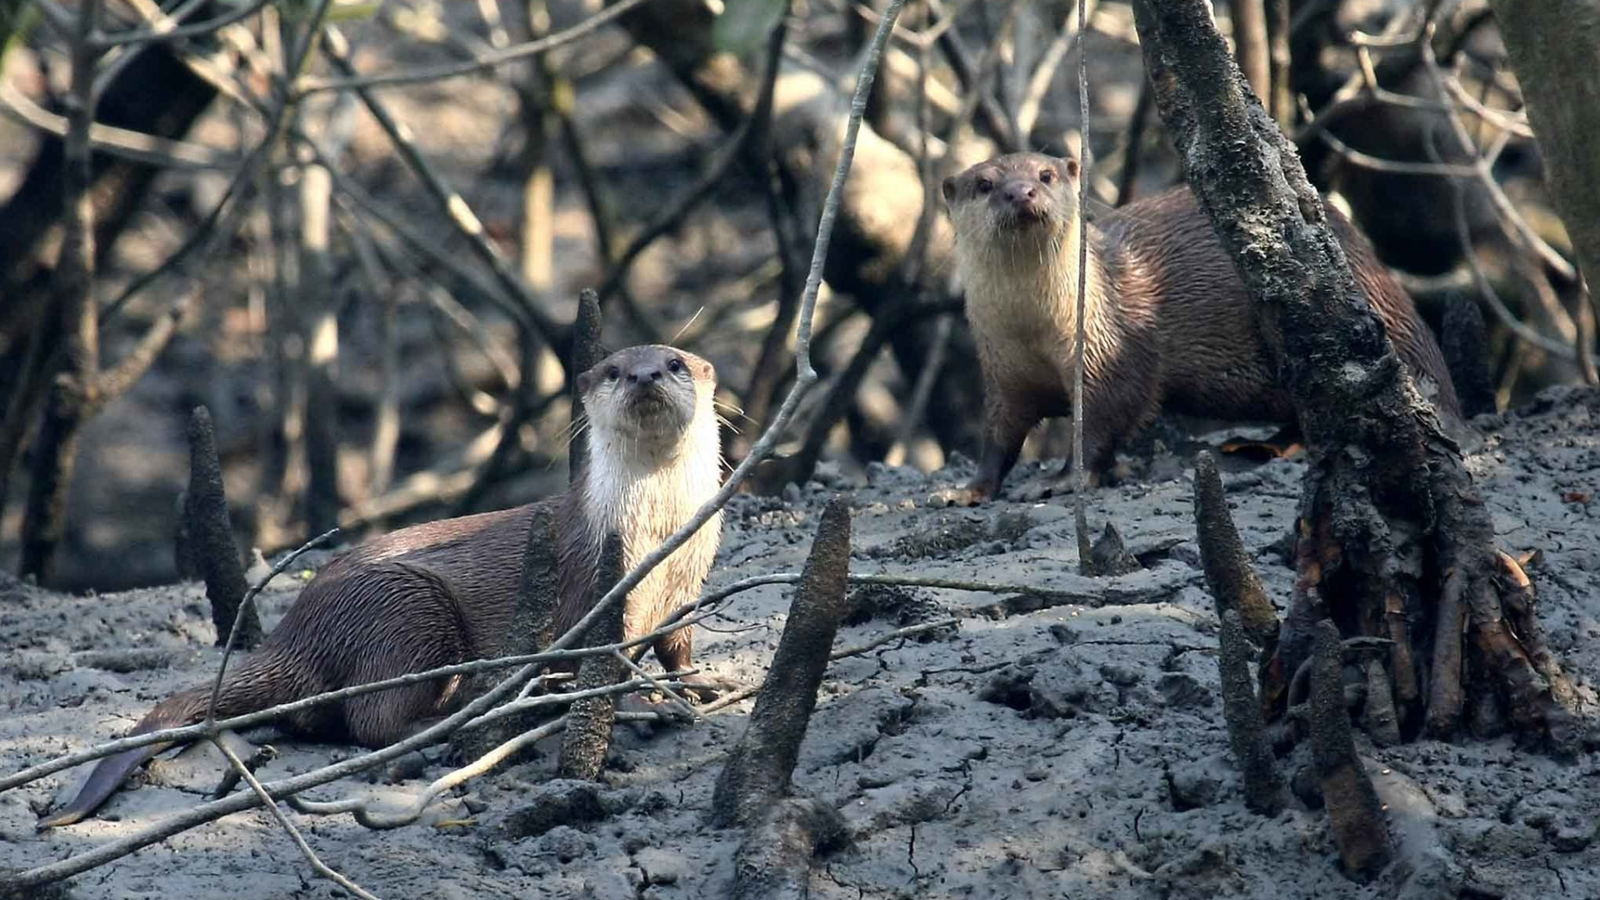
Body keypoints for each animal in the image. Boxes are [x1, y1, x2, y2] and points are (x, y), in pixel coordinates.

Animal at [37, 344, 724, 828]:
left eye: (674, 363)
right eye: (612, 370)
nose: (644, 377)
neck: (657, 540)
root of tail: (296, 631)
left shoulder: (686, 588)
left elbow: (678, 646)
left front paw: (699, 684)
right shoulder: (591, 588)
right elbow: (596, 662)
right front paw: (648, 703)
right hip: (408, 610)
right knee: (372, 718)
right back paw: (450, 725)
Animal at [940, 151, 1464, 502]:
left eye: (1044, 175)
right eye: (984, 184)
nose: (1021, 192)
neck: (1032, 330)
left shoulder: (1111, 350)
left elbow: (1107, 416)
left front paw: (1062, 480)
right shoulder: (1002, 369)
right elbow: (999, 434)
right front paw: (968, 490)